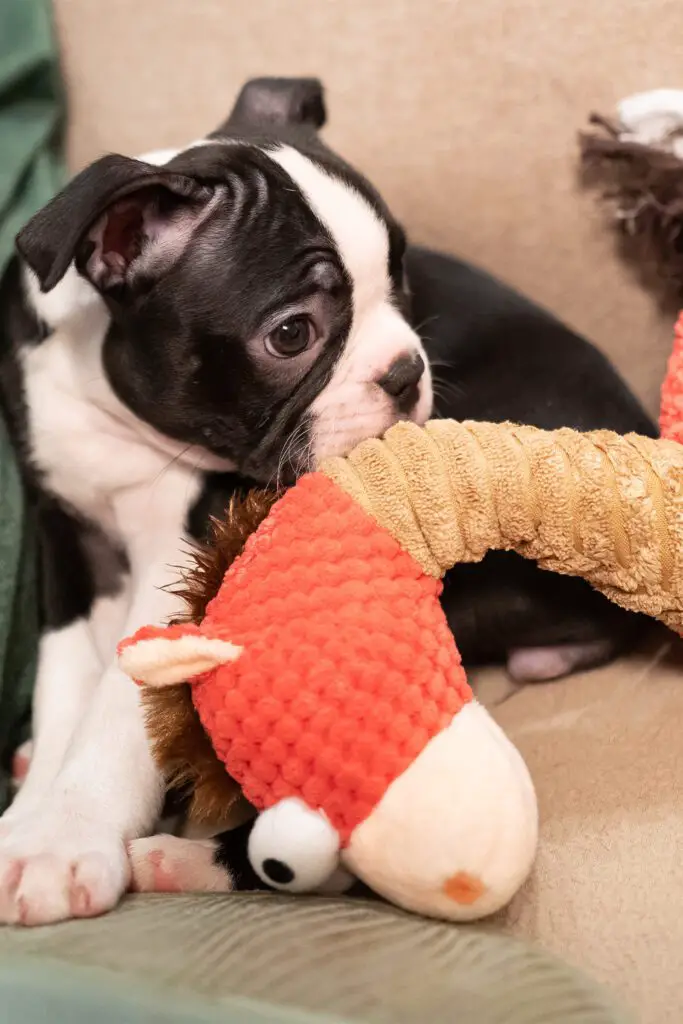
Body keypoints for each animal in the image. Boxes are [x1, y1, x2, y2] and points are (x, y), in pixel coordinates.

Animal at [0, 75, 651, 925]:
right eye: (291, 335)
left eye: (401, 281)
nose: (407, 371)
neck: (105, 397)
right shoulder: (69, 538)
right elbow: (65, 681)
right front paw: (37, 812)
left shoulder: (188, 543)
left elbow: (118, 702)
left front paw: (66, 838)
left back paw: (182, 860)